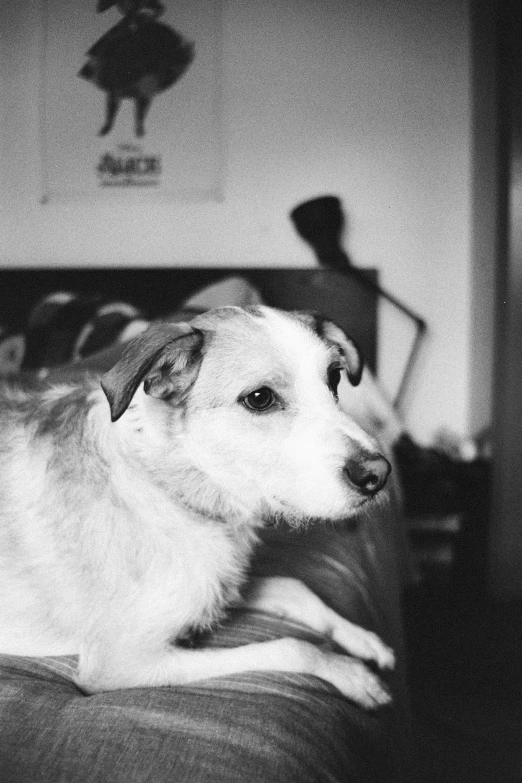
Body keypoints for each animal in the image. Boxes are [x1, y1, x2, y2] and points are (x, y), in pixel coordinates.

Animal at [0, 306, 390, 712]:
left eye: (334, 378)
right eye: (260, 398)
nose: (378, 475)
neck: (168, 484)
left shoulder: (222, 587)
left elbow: (295, 589)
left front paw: (363, 638)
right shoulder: (118, 664)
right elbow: (293, 647)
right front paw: (351, 673)